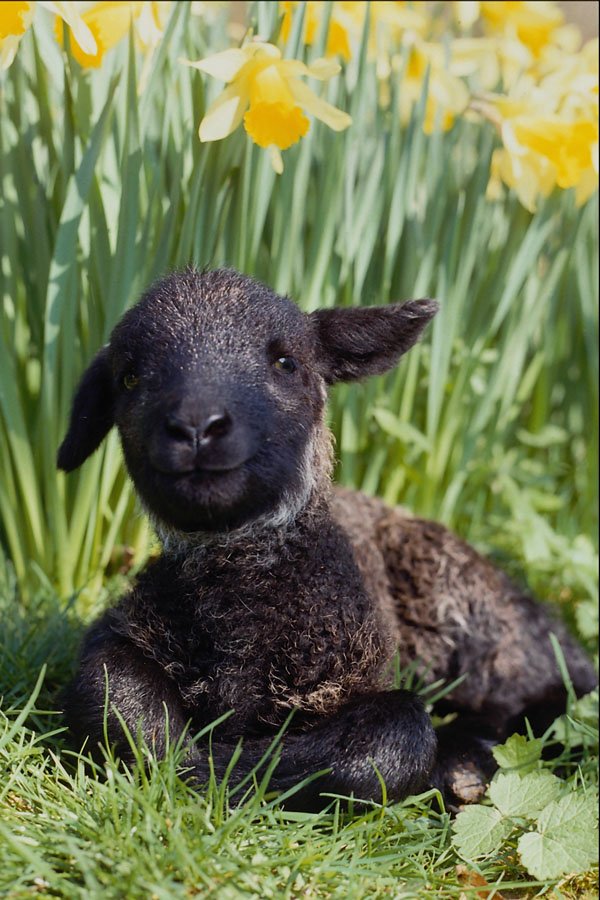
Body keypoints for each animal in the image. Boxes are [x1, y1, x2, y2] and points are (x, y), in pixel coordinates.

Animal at [58, 268, 596, 811]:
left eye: (285, 361)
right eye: (129, 377)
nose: (195, 426)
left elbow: (394, 740)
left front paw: (225, 772)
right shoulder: (122, 631)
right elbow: (116, 702)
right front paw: (192, 764)